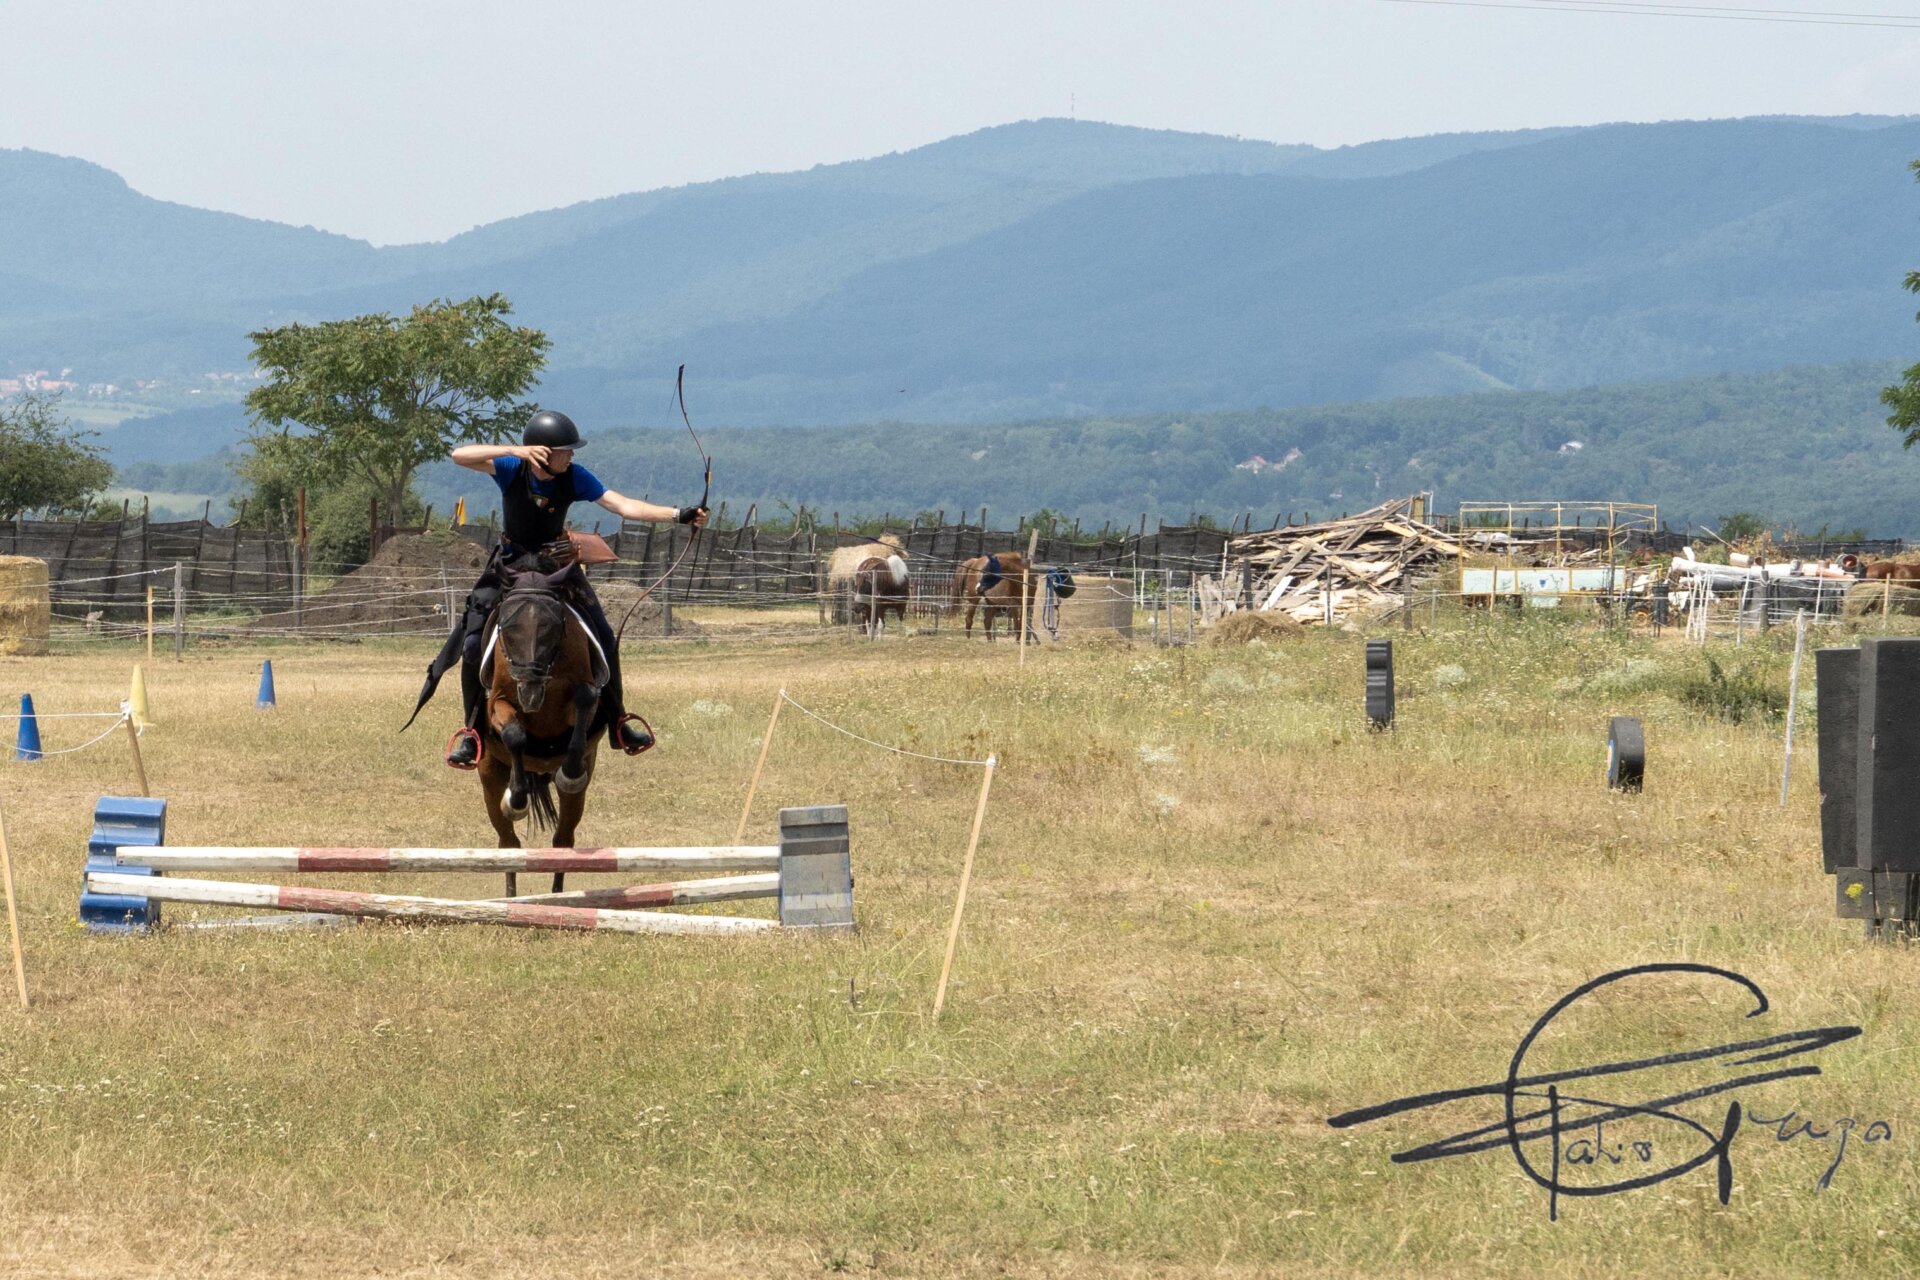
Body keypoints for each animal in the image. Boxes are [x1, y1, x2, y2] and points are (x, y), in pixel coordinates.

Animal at [476, 564, 602, 898]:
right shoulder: (498, 703)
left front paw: (570, 772)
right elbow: (515, 735)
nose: (530, 688)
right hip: (490, 777)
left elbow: (585, 699)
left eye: (553, 625)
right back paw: (511, 899)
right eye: (507, 625)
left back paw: (557, 897)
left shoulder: (584, 695)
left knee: (563, 841)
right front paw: (517, 798)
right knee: (508, 844)